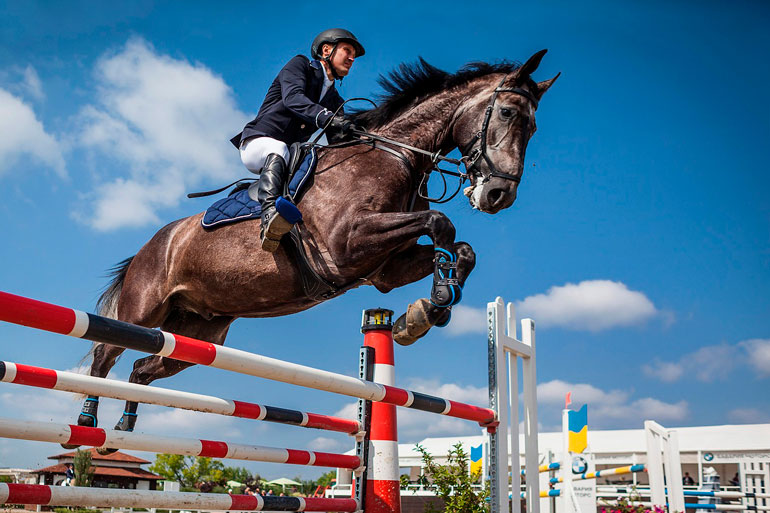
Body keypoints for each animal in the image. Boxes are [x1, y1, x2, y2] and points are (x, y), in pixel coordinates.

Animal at [69, 49, 556, 448]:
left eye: (533, 126)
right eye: (508, 112)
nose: (498, 195)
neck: (395, 157)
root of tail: (154, 243)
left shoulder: (383, 269)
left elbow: (462, 248)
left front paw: (425, 311)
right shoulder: (347, 246)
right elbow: (442, 222)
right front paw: (430, 304)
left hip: (200, 332)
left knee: (144, 368)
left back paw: (124, 428)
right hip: (143, 309)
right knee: (105, 351)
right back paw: (87, 425)